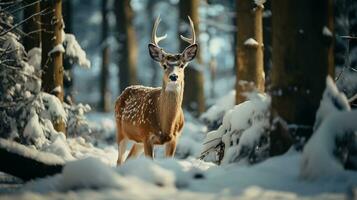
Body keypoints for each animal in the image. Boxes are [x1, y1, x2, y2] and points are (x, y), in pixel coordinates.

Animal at [114, 16, 197, 166]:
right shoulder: (146, 135)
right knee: (119, 161)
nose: (173, 76)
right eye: (164, 65)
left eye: (182, 65)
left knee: (129, 158)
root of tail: (124, 91)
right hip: (121, 131)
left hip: (138, 141)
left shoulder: (174, 138)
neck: (166, 127)